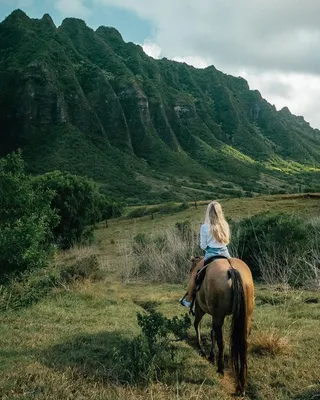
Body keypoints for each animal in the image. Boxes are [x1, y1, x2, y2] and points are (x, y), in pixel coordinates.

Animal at [190, 256, 255, 396]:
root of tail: (231, 269)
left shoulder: (200, 309)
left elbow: (198, 325)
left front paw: (202, 350)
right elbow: (212, 333)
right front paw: (211, 356)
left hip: (217, 315)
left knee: (221, 342)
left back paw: (220, 369)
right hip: (246, 317)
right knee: (244, 345)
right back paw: (241, 385)